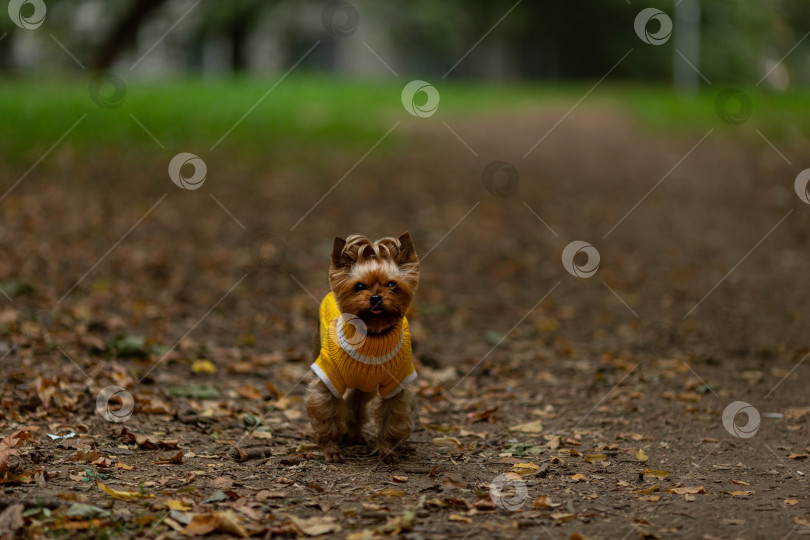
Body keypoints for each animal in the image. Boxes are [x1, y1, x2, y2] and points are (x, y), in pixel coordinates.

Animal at [302, 232, 416, 464]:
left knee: (356, 404)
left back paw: (355, 435)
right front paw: (331, 450)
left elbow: (391, 420)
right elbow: (326, 415)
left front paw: (387, 452)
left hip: (366, 387)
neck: (372, 335)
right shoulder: (327, 381)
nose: (376, 297)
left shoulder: (397, 385)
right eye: (360, 286)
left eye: (392, 285)